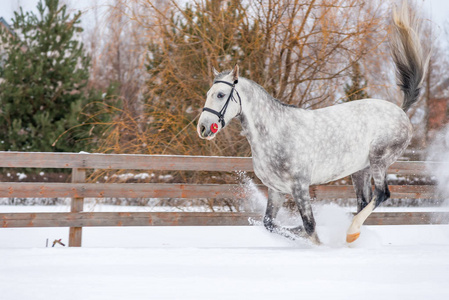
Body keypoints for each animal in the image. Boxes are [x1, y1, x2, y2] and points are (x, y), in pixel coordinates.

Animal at [196, 0, 428, 244]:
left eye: (220, 94)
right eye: (208, 93)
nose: (203, 128)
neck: (275, 133)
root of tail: (400, 110)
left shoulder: (299, 186)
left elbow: (310, 226)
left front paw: (318, 243)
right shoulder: (276, 190)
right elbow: (271, 224)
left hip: (379, 160)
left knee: (382, 194)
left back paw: (351, 231)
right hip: (360, 170)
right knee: (364, 202)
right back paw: (351, 234)